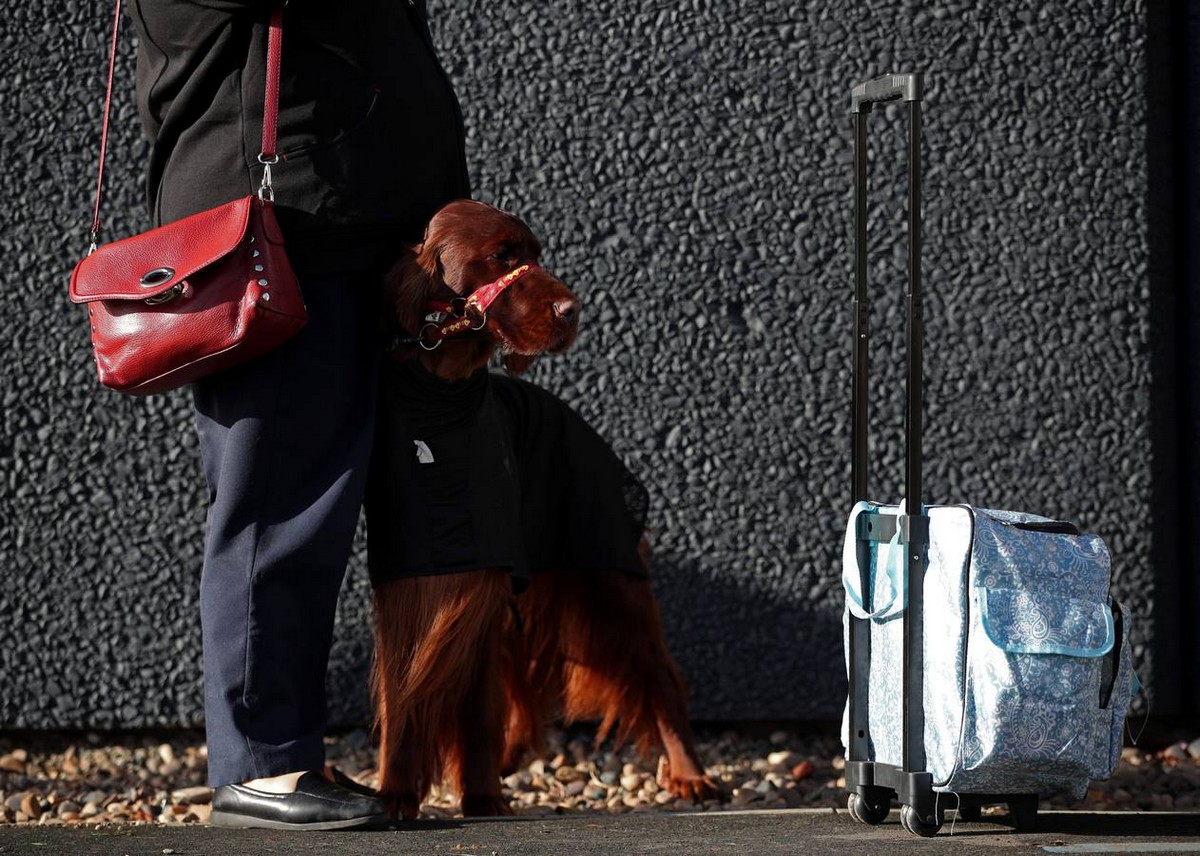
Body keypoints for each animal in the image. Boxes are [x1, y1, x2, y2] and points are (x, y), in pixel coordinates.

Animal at [364, 196, 715, 816]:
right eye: (501, 256)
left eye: (535, 253)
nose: (573, 311)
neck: (442, 406)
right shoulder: (407, 583)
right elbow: (404, 700)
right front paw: (397, 794)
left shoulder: (482, 577)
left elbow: (477, 706)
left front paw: (482, 797)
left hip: (609, 571)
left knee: (659, 673)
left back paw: (689, 774)